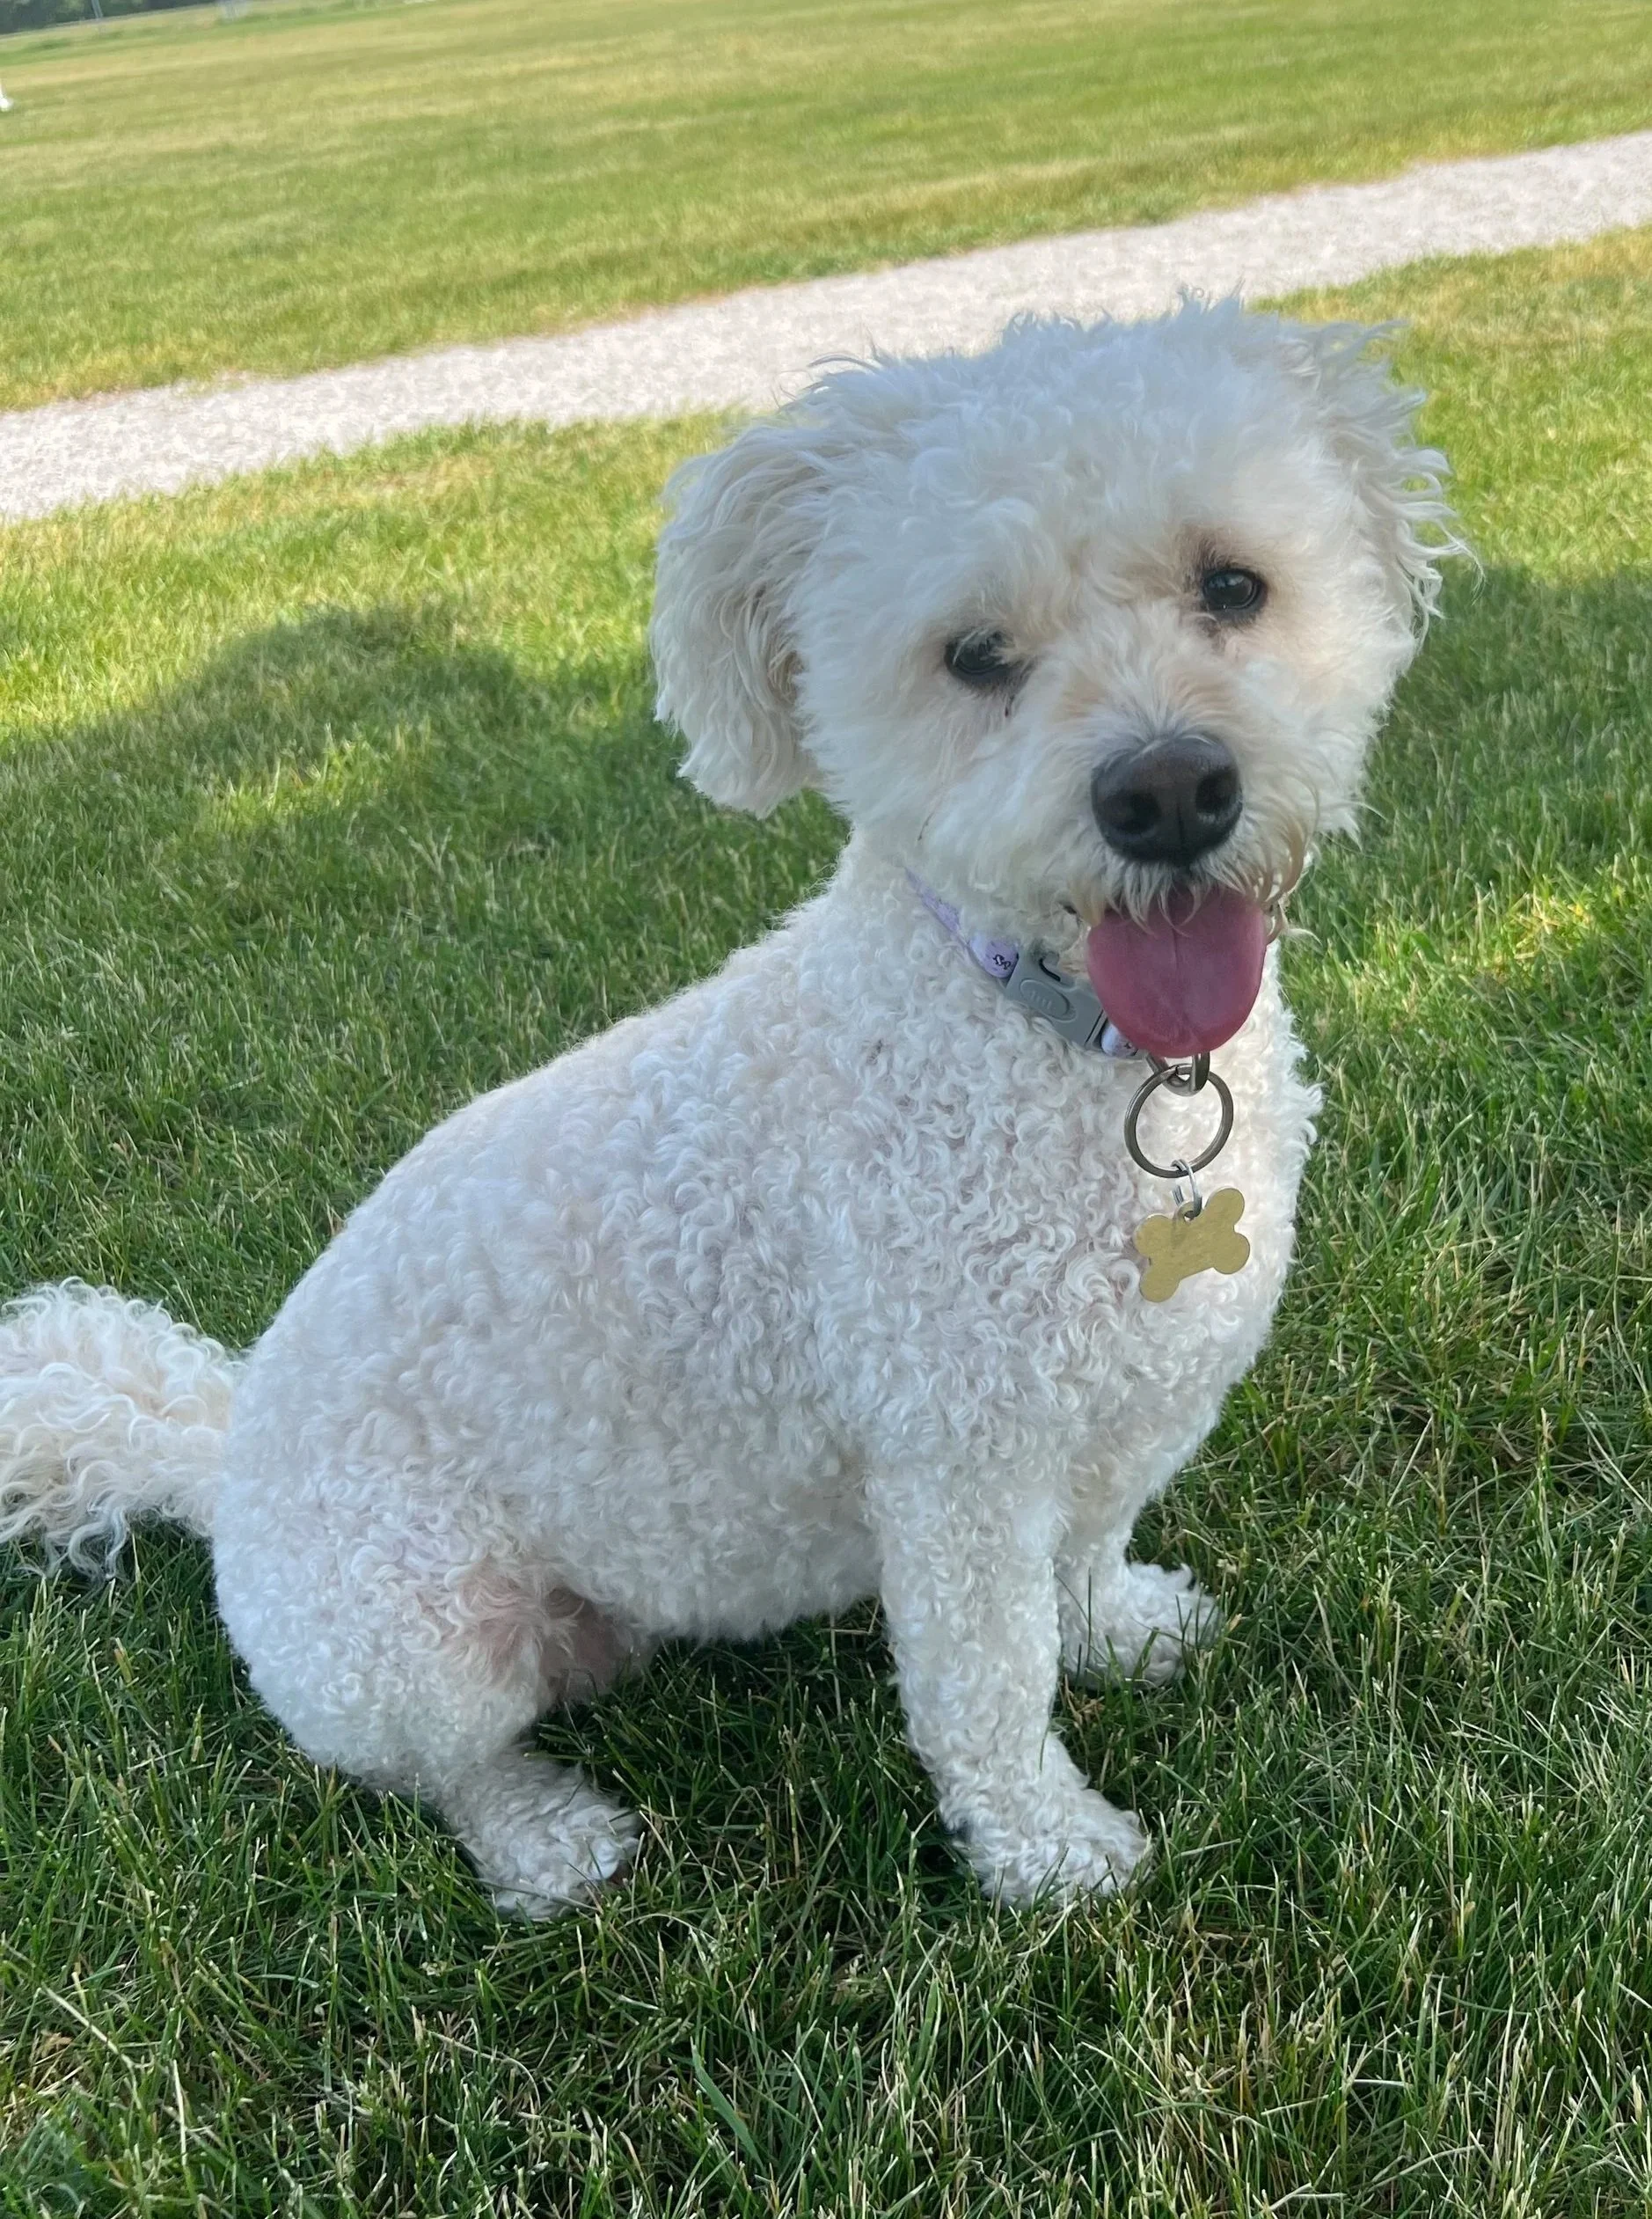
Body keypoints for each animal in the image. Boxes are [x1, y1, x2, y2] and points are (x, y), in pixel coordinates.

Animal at [0, 301, 1453, 1914]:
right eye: (973, 656)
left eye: (1231, 584)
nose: (1169, 790)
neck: (1063, 1049)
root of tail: (222, 1451)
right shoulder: (954, 1468)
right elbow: (989, 1682)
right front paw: (1051, 1858)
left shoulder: (1116, 1411)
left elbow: (1084, 1558)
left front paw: (1124, 1628)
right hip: (404, 1634)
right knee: (440, 1770)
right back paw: (546, 1836)